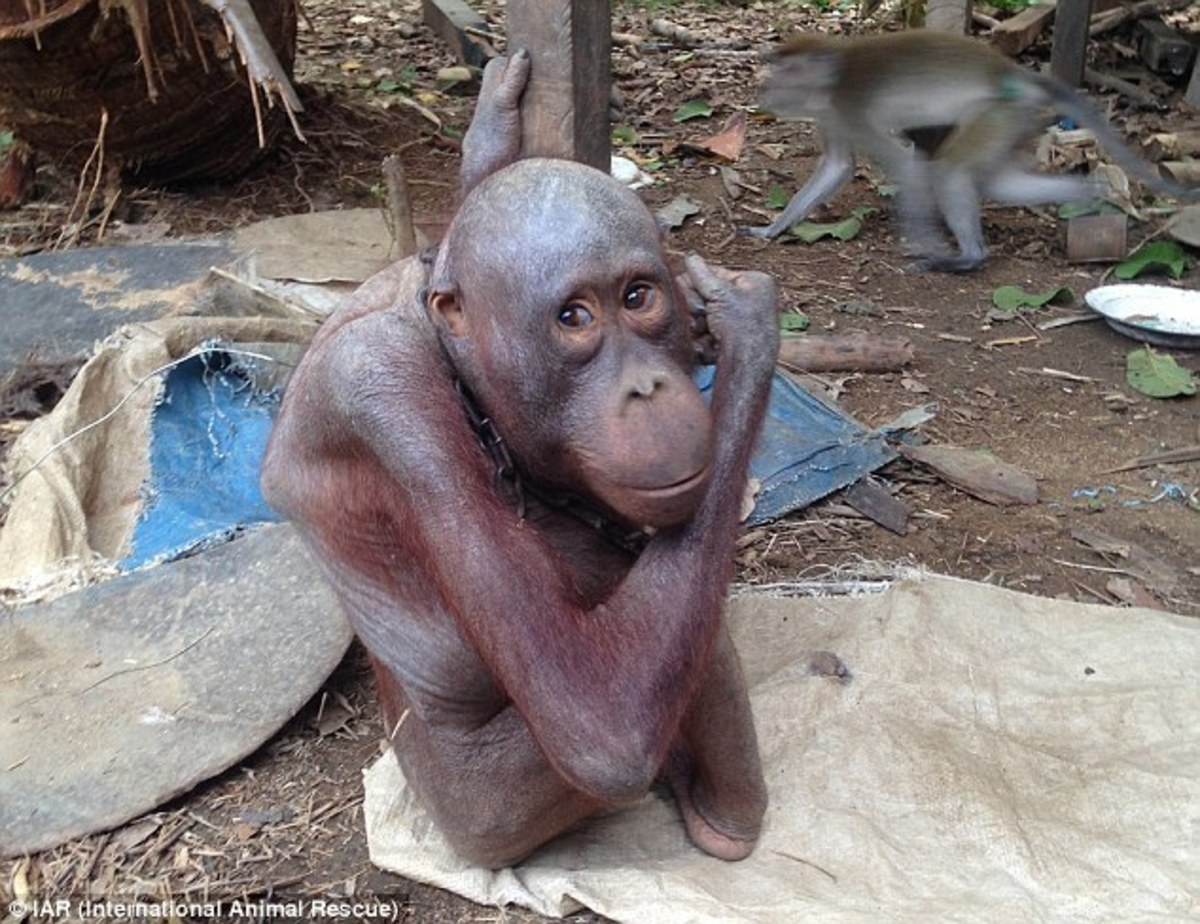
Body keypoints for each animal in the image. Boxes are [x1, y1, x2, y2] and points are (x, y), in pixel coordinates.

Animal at [748, 31, 1190, 270]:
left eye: (789, 69)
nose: (767, 87)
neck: (831, 82)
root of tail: (1015, 74)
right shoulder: (833, 114)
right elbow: (838, 167)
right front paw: (772, 229)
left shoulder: (851, 104)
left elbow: (903, 164)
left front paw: (924, 242)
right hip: (1011, 119)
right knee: (998, 182)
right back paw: (1096, 195)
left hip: (994, 113)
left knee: (950, 170)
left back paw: (967, 257)